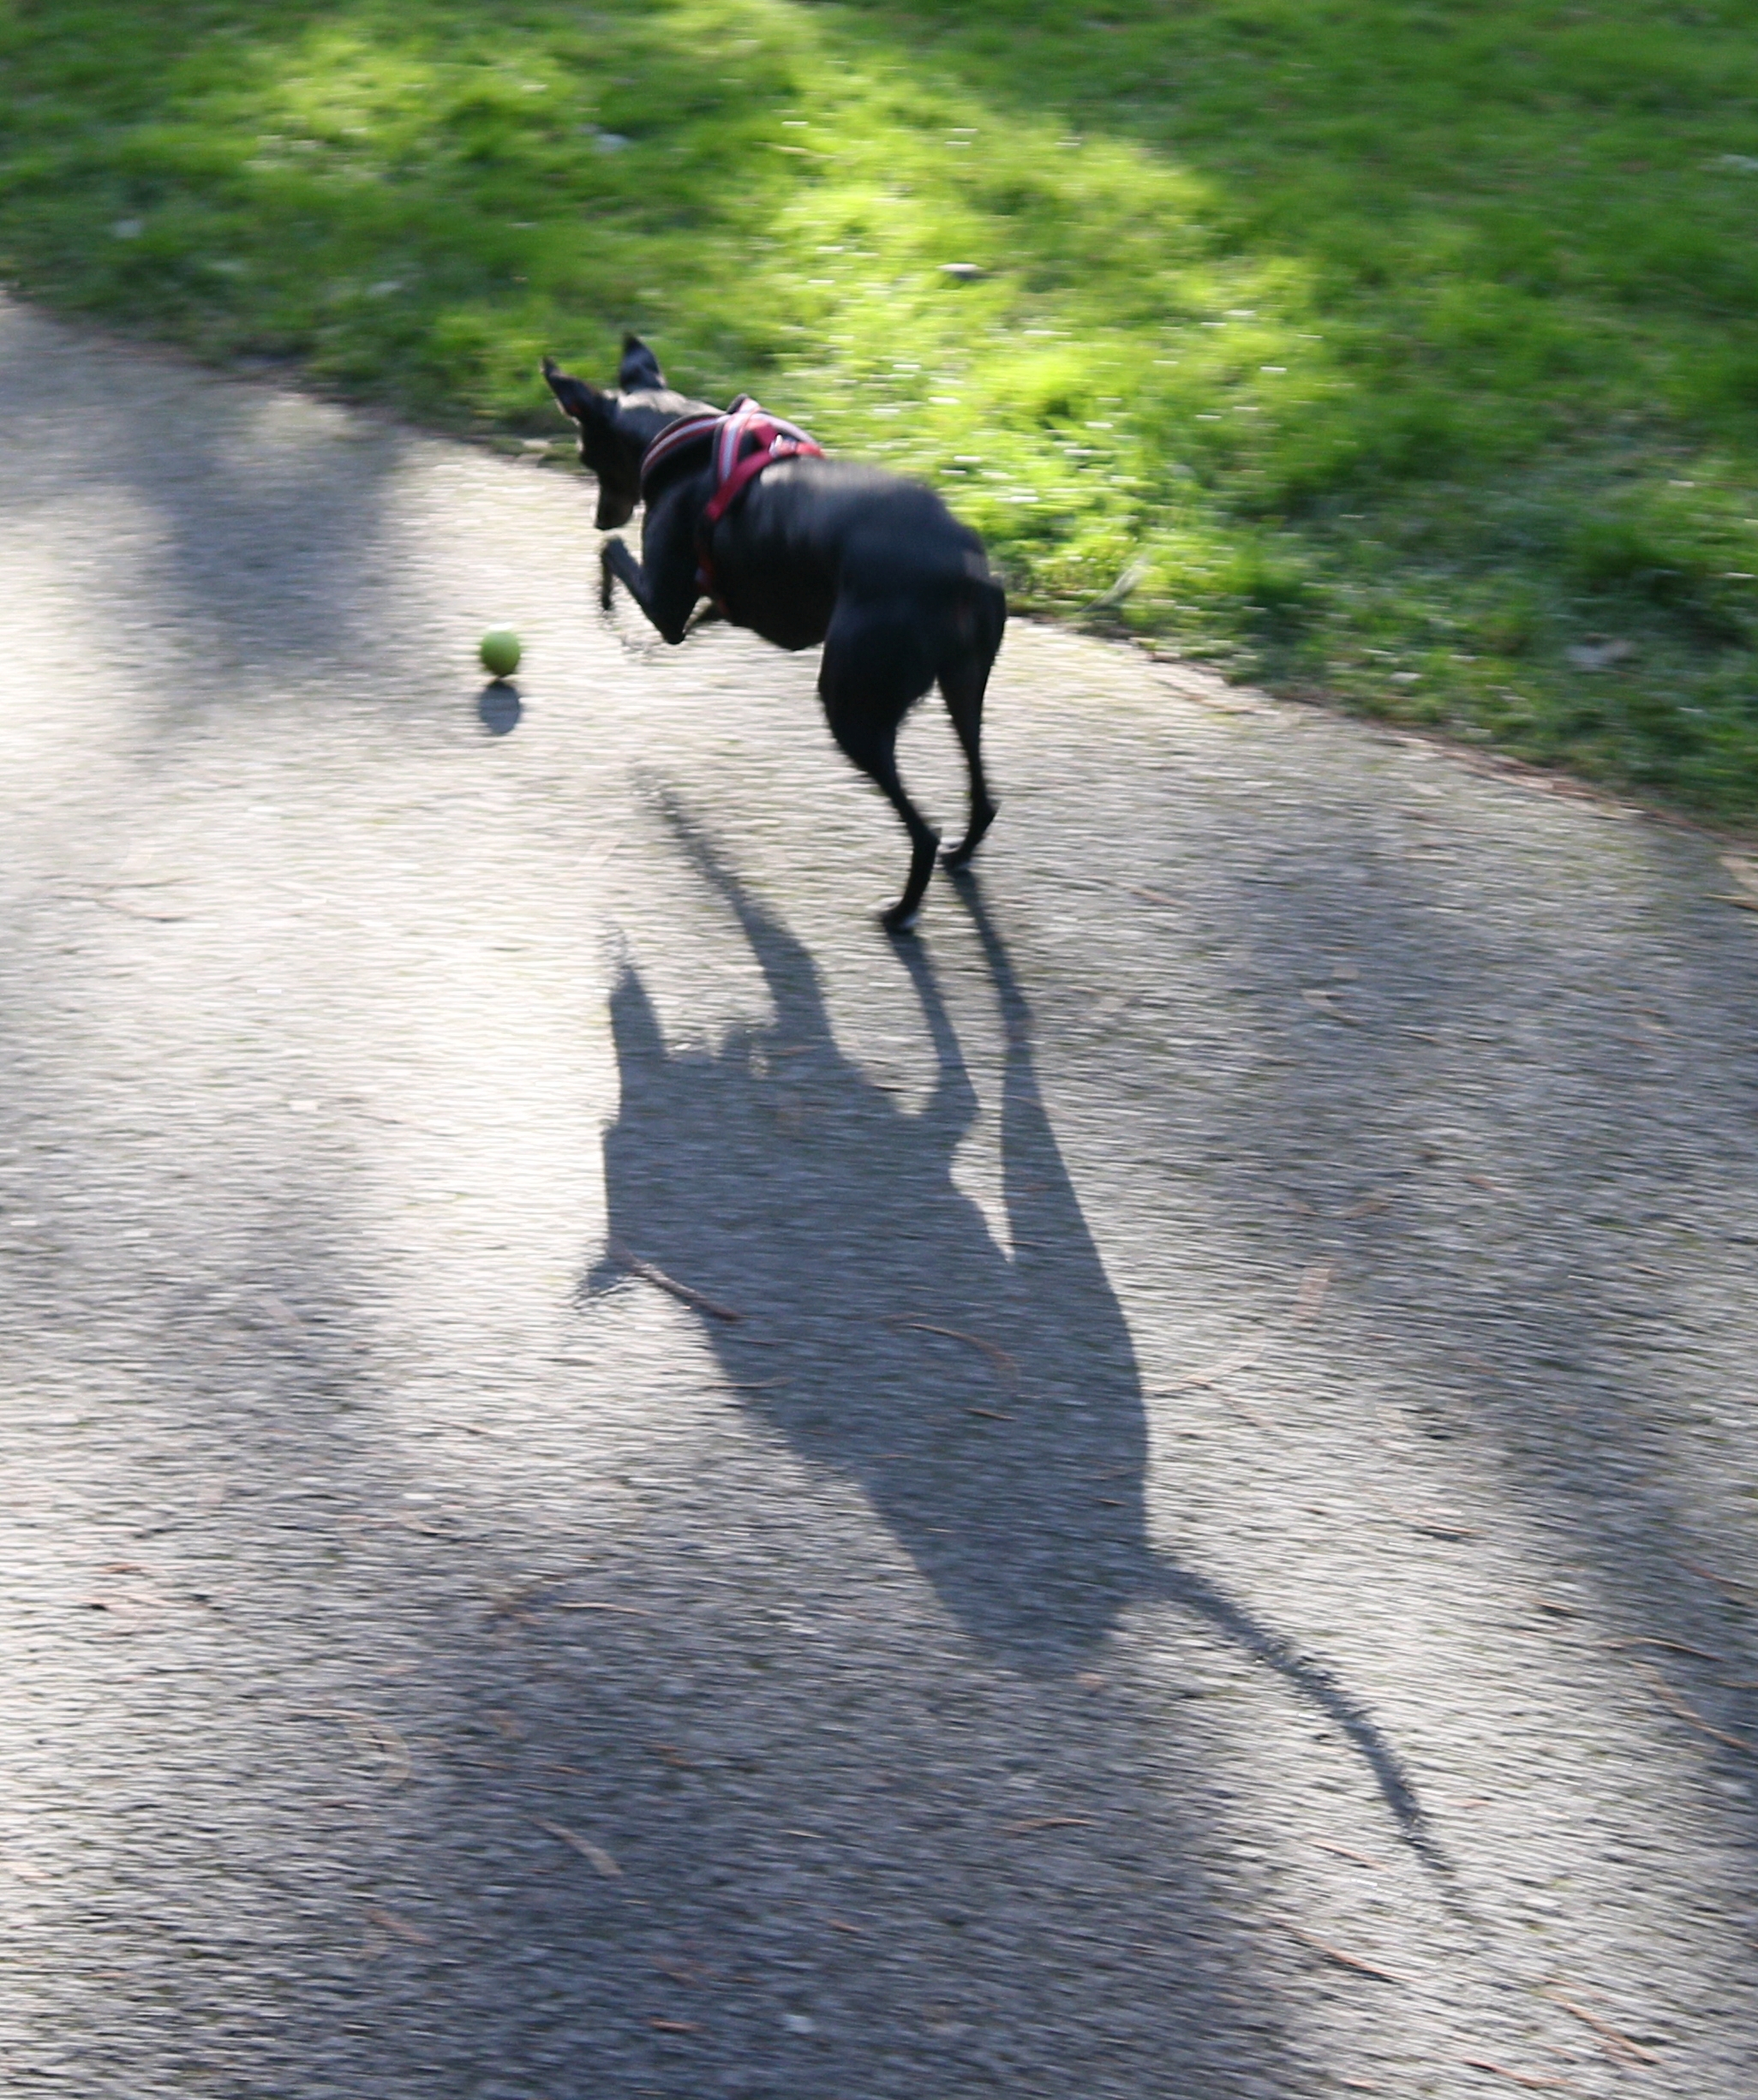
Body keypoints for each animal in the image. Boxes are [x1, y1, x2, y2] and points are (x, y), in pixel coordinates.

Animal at [541, 333, 999, 928]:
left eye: (585, 456)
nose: (600, 515)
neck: (681, 437)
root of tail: (965, 575)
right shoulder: (725, 602)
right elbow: (701, 612)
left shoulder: (665, 605)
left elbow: (612, 557)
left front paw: (607, 608)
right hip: (962, 688)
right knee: (982, 797)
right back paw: (961, 856)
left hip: (854, 706)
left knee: (923, 830)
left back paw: (900, 912)